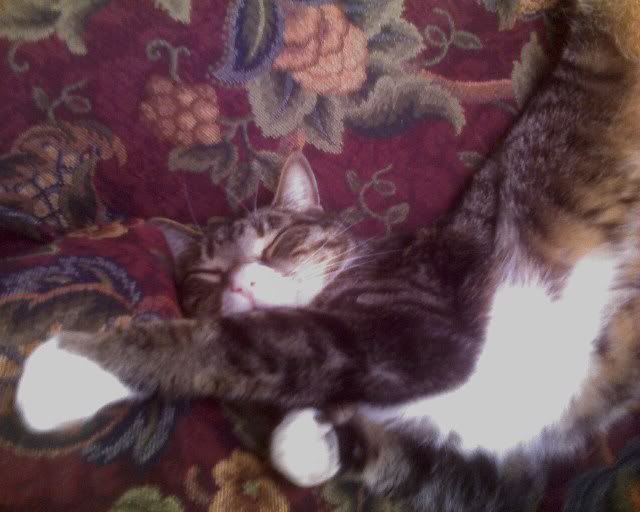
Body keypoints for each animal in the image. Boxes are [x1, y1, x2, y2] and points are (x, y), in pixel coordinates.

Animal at [14, 1, 640, 510]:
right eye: (208, 275)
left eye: (277, 242)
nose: (239, 281)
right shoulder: (491, 468)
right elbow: (386, 460)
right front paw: (313, 436)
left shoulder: (417, 329)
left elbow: (240, 343)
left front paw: (73, 369)